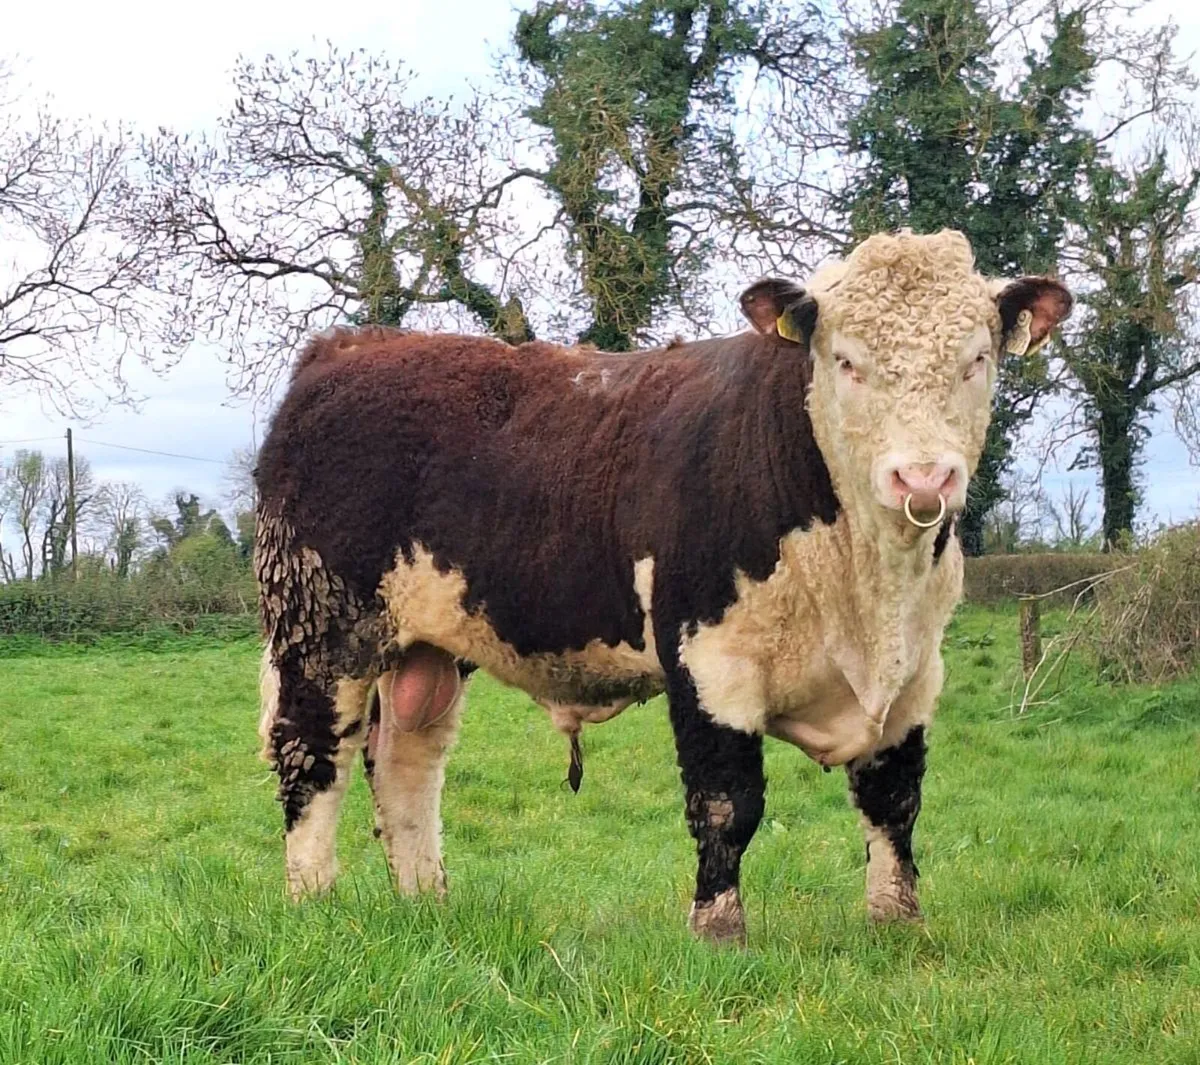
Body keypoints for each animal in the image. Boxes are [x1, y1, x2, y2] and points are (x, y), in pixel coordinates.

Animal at [254, 229, 1071, 943]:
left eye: (976, 360)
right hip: (321, 629)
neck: (868, 586)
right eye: (846, 361)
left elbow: (895, 799)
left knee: (407, 765)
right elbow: (727, 802)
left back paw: (426, 903)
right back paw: (312, 905)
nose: (923, 478)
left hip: (429, 645)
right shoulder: (709, 657)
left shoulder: (915, 673)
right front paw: (718, 930)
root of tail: (351, 347)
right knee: (312, 758)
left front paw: (897, 924)